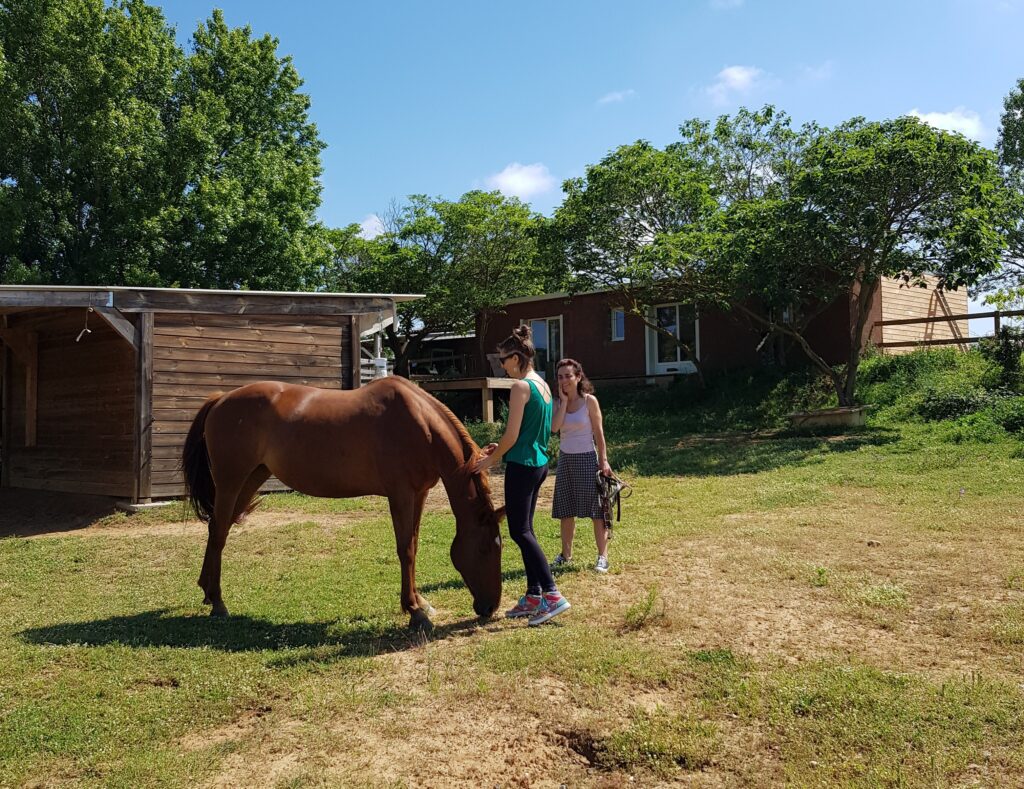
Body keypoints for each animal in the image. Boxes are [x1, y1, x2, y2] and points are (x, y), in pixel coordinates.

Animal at [180, 377, 506, 630]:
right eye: (485, 548)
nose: (490, 607)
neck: (421, 424)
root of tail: (221, 399)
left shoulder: (420, 494)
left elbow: (413, 542)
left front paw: (420, 602)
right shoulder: (401, 494)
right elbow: (406, 549)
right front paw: (414, 611)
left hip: (251, 477)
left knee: (218, 528)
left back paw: (208, 592)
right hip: (230, 480)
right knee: (219, 532)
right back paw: (218, 602)